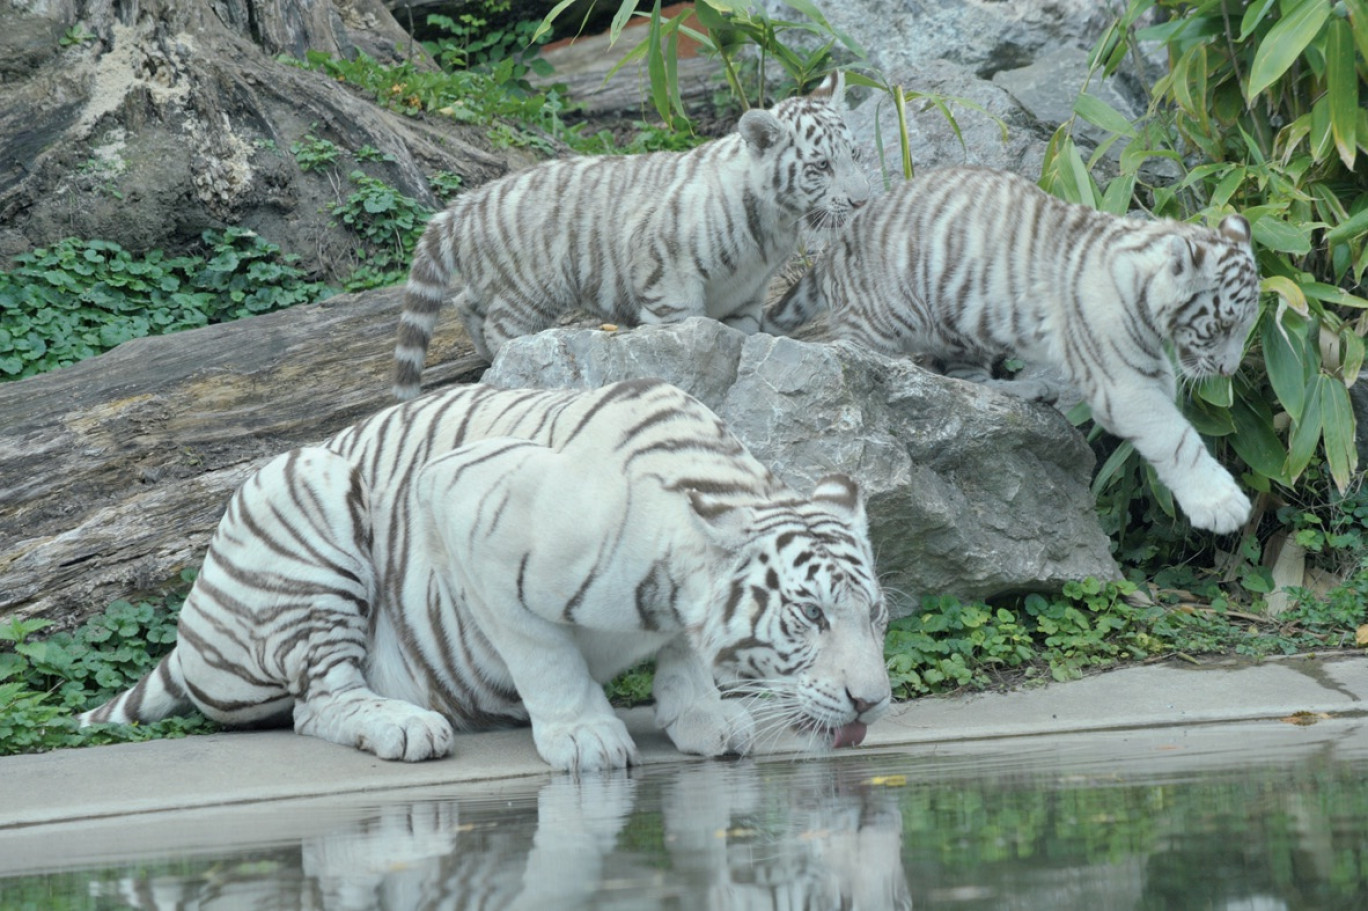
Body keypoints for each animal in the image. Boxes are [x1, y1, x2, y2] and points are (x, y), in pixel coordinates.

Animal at [85, 380, 897, 771]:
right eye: (811, 615)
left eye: (877, 615)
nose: (872, 701)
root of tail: (190, 632)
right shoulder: (466, 502)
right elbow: (545, 655)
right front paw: (585, 737)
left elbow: (686, 650)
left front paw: (702, 716)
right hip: (307, 492)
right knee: (317, 703)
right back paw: (405, 725)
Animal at [391, 71, 870, 396]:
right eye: (821, 165)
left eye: (855, 154)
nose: (861, 201)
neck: (776, 221)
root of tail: (466, 204)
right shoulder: (669, 278)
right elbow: (684, 340)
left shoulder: (746, 295)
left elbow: (742, 340)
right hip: (527, 292)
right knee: (502, 329)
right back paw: (509, 365)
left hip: (490, 281)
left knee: (464, 303)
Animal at [766, 164, 1253, 533]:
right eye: (1220, 326)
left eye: (1246, 328)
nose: (1229, 371)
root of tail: (836, 247)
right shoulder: (1123, 382)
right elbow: (1176, 439)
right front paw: (1223, 505)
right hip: (883, 318)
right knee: (848, 351)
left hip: (964, 327)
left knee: (970, 382)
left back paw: (1027, 391)